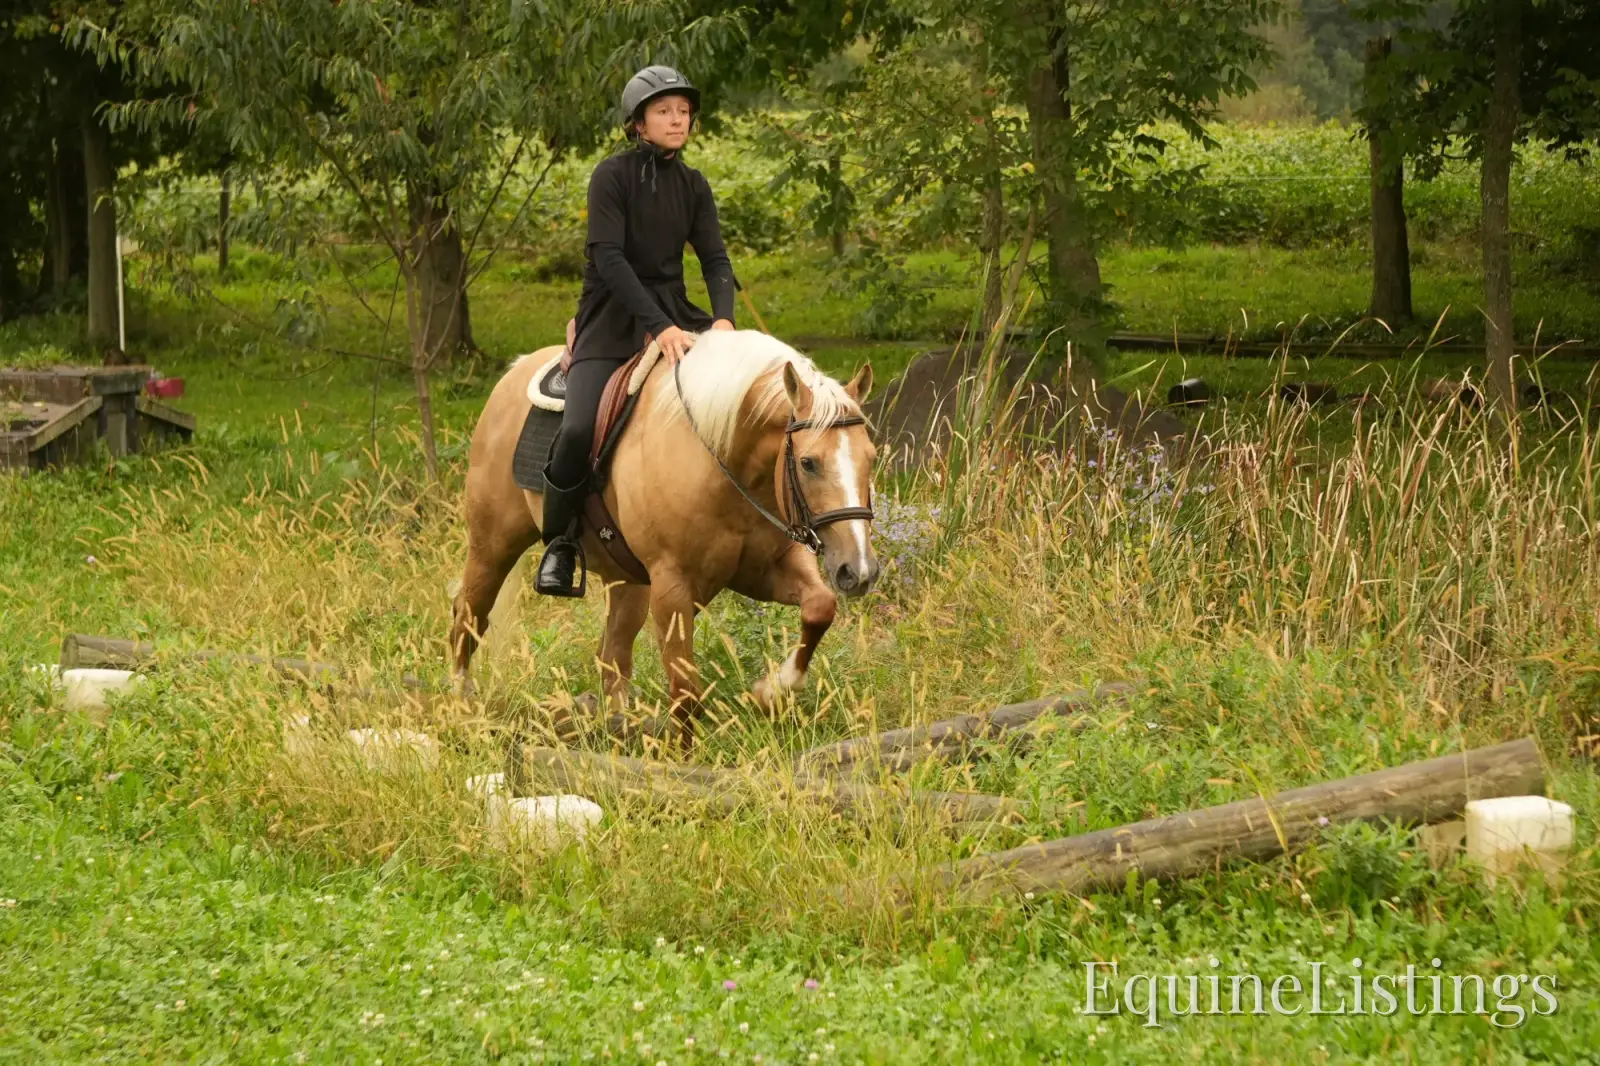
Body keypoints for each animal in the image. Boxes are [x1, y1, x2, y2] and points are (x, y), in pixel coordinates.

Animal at [449, 329, 881, 753]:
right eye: (808, 463)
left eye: (871, 458)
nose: (858, 570)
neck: (719, 459)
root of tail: (516, 371)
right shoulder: (673, 588)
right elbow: (685, 689)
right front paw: (682, 760)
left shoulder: (763, 570)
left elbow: (820, 607)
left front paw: (772, 690)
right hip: (492, 548)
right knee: (467, 619)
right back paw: (462, 710)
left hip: (627, 583)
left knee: (612, 657)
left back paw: (618, 730)